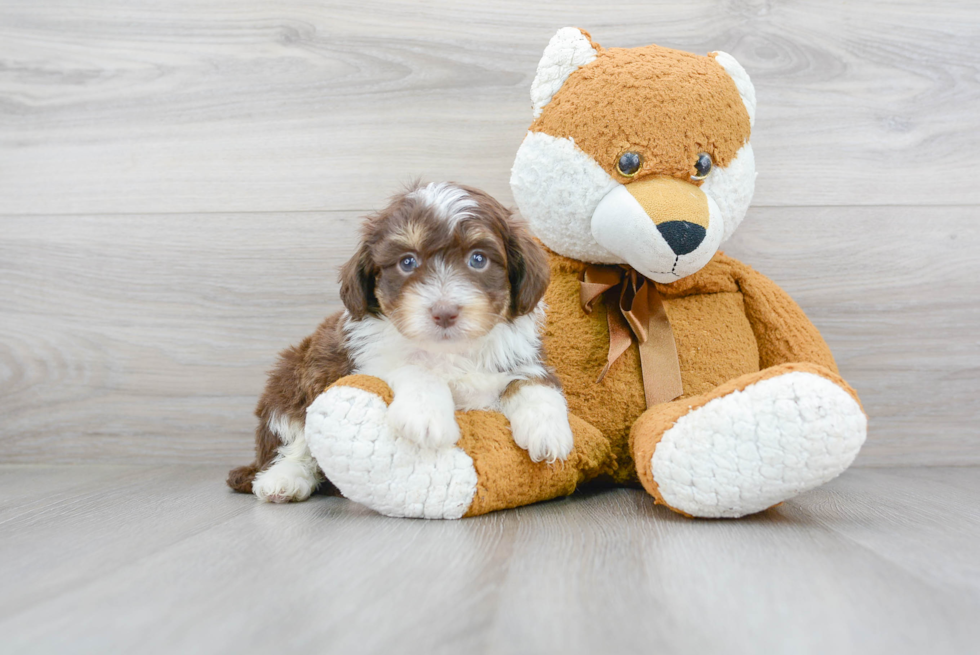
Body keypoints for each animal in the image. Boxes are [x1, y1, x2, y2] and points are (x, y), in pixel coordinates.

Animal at [228, 182, 576, 504]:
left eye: (478, 259)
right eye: (407, 262)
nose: (444, 312)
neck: (448, 351)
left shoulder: (523, 357)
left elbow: (533, 382)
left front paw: (548, 430)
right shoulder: (360, 362)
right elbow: (412, 368)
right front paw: (426, 417)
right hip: (291, 379)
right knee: (293, 439)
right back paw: (282, 481)